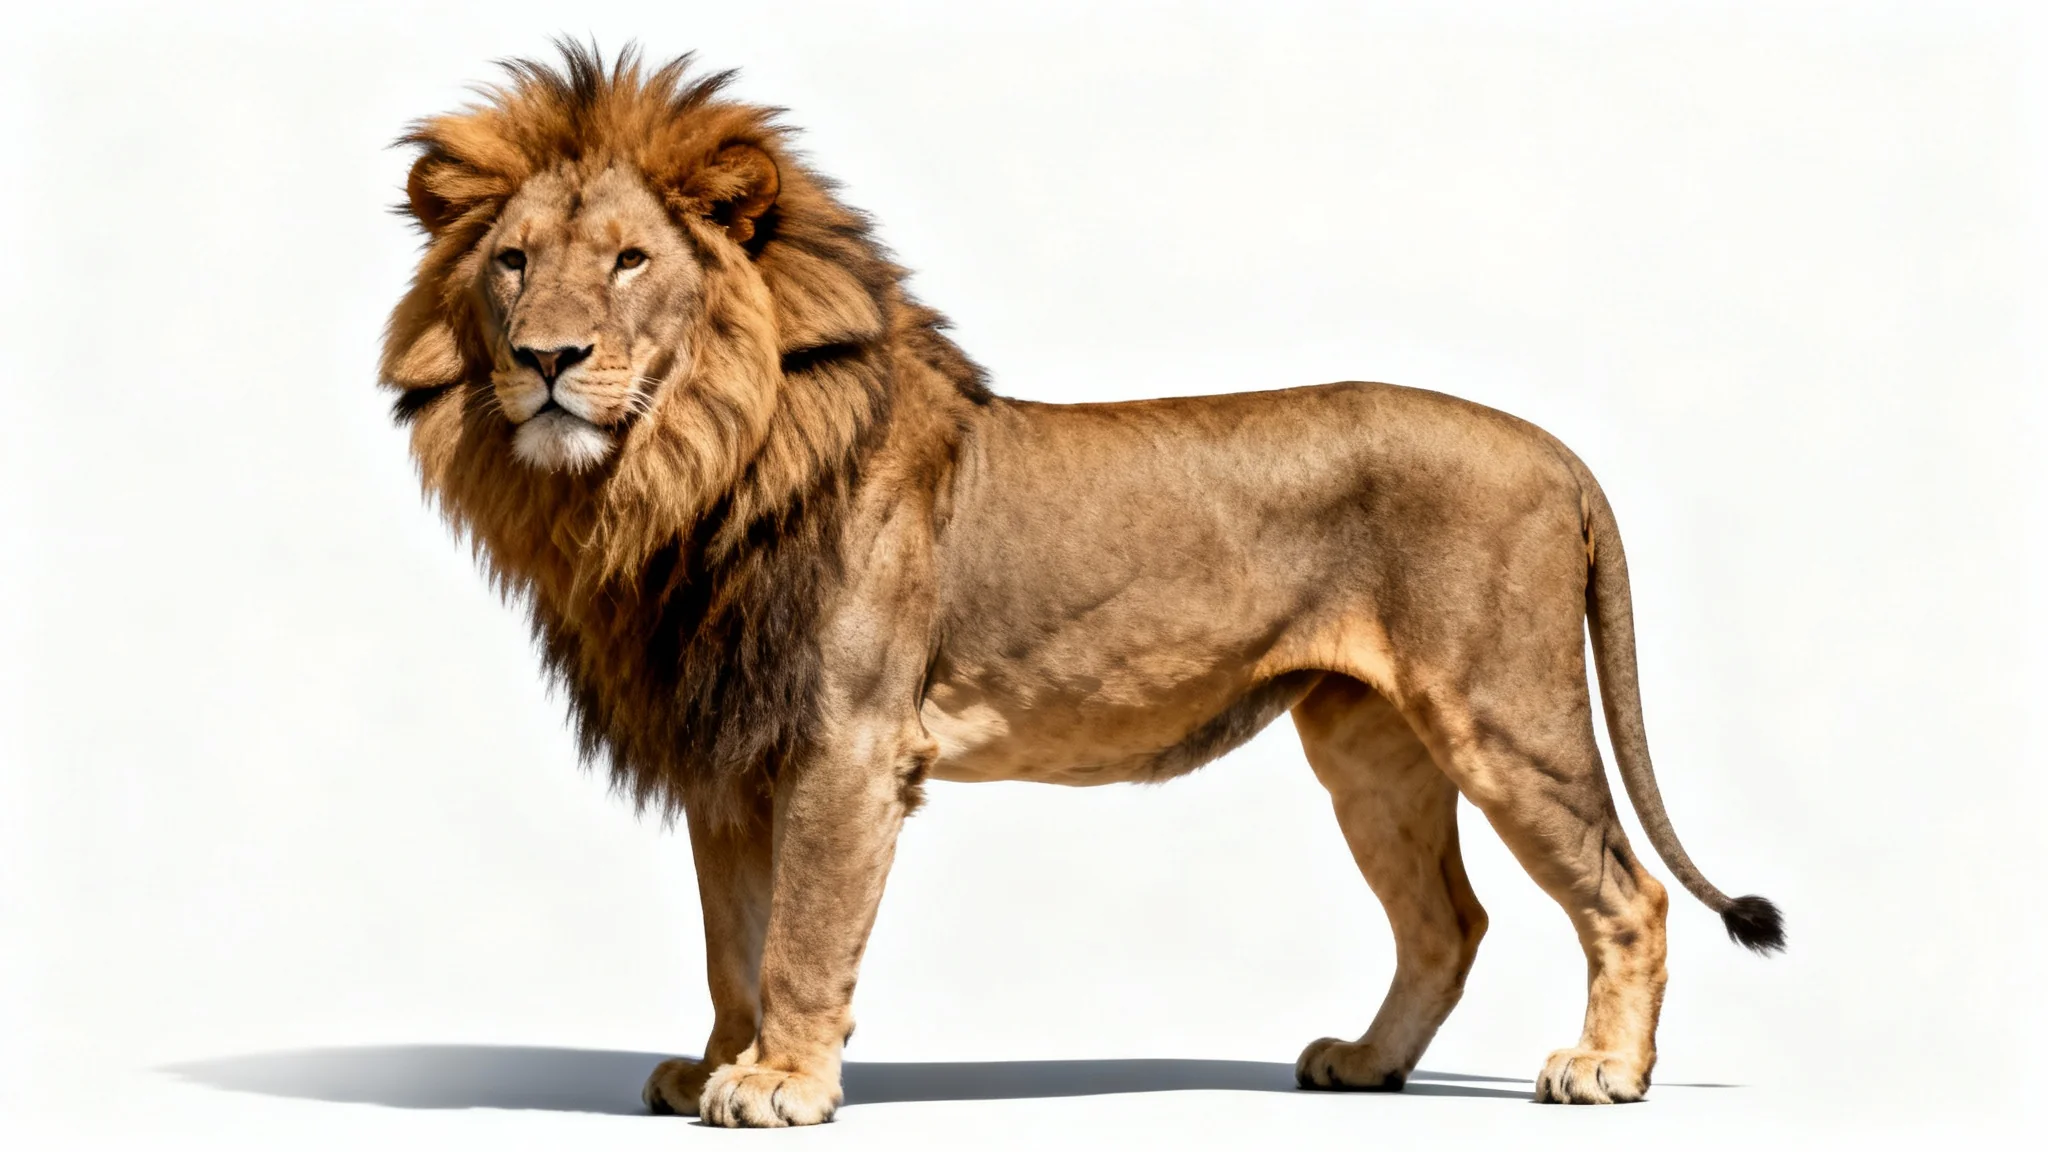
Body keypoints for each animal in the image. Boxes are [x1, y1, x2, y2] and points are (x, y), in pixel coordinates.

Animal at [380, 44, 1783, 1127]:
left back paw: (1602, 1070)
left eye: (628, 261)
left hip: (1500, 711)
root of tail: (1554, 450)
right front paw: (722, 1063)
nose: (545, 359)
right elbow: (737, 935)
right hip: (1368, 746)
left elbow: (802, 935)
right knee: (1446, 921)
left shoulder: (846, 742)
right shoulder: (730, 750)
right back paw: (1365, 1066)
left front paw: (779, 1083)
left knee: (1627, 893)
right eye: (511, 262)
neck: (669, 479)